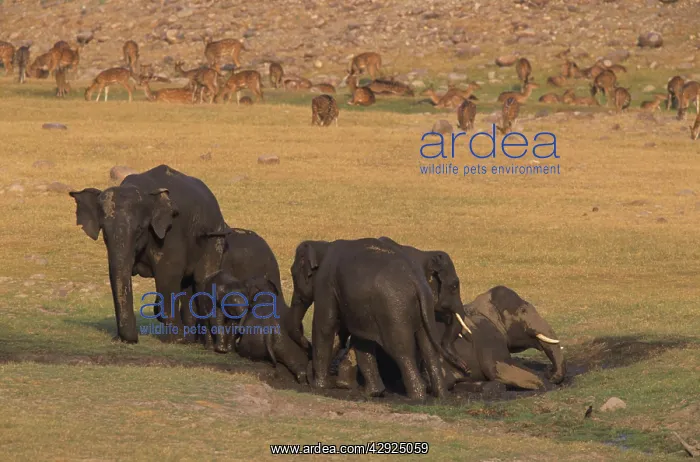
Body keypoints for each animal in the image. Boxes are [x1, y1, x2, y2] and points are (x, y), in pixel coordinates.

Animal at [69, 165, 229, 348]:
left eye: (139, 230)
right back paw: (191, 340)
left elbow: (168, 275)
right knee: (187, 284)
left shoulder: (170, 232)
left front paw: (176, 341)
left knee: (202, 279)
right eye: (104, 233)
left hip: (215, 235)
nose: (126, 340)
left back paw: (201, 343)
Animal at [303, 237, 469, 401]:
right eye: (454, 286)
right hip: (398, 308)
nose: (467, 369)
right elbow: (333, 328)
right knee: (414, 348)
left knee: (411, 349)